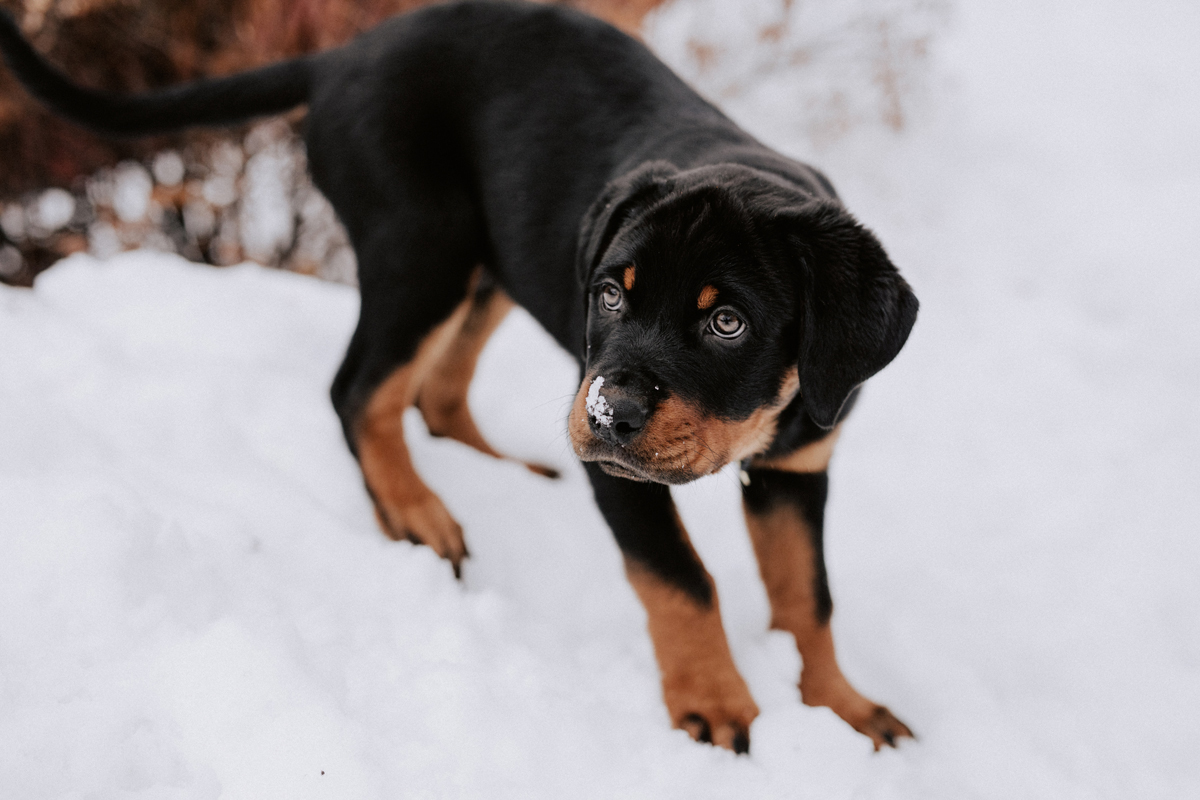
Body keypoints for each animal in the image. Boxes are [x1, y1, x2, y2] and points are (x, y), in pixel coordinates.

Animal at [2, 0, 916, 753]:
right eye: (611, 296)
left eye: (728, 323)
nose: (608, 414)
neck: (771, 412)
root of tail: (344, 55)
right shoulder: (621, 472)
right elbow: (681, 580)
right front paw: (715, 706)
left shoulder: (801, 465)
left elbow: (808, 598)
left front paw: (840, 708)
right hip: (424, 241)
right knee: (360, 389)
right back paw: (416, 513)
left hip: (489, 259)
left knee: (436, 388)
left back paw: (498, 469)